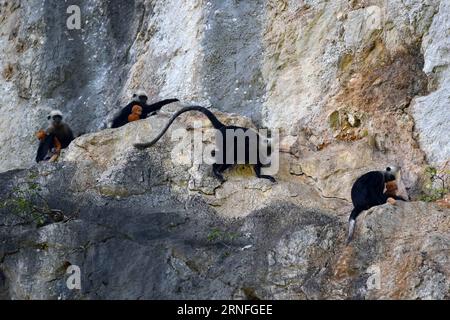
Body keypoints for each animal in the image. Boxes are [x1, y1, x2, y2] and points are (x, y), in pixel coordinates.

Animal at [132, 105, 276, 182]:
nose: (268, 160)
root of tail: (224, 127)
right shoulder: (253, 151)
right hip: (226, 140)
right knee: (228, 155)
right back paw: (216, 170)